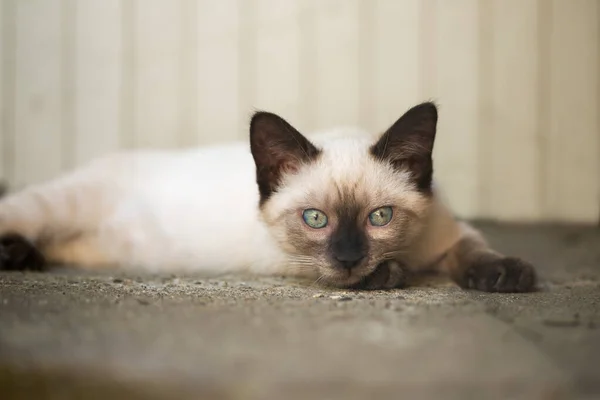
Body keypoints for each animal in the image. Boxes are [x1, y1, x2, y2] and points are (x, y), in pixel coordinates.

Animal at [0, 102, 536, 290]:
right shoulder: (281, 256)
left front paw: (505, 275)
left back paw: (23, 256)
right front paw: (389, 274)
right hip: (55, 206)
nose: (348, 258)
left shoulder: (450, 234)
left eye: (380, 217)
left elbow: (474, 249)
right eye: (315, 220)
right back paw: (16, 252)